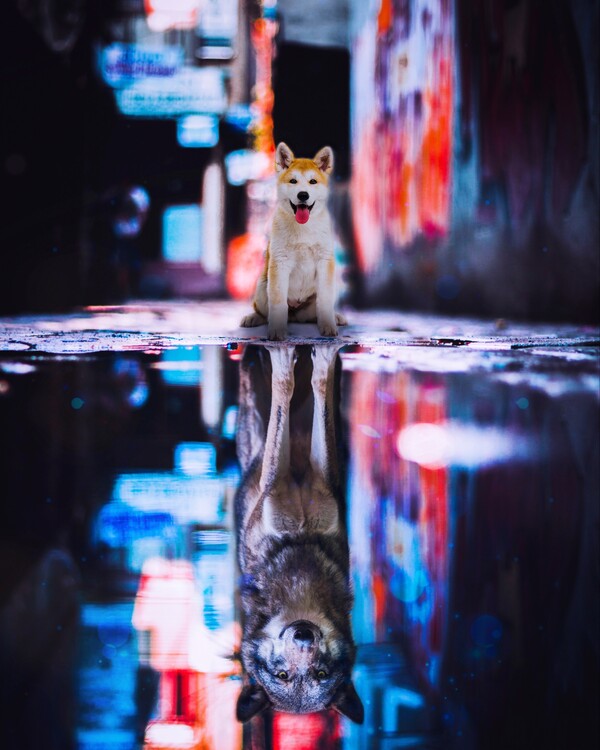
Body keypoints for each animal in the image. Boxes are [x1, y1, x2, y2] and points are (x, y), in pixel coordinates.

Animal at [234, 343, 363, 724]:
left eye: (320, 674)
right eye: (282, 675)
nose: (303, 636)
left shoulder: (321, 480)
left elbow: (311, 389)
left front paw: (318, 359)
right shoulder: (274, 487)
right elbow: (285, 396)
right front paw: (288, 359)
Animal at [240, 142, 347, 341]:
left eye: (313, 182)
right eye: (293, 181)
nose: (303, 195)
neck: (303, 228)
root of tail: (296, 314)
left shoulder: (324, 260)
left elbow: (325, 301)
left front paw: (329, 326)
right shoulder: (280, 263)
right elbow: (278, 302)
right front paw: (276, 331)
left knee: (317, 311)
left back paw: (336, 317)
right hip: (262, 286)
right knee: (262, 311)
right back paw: (253, 318)